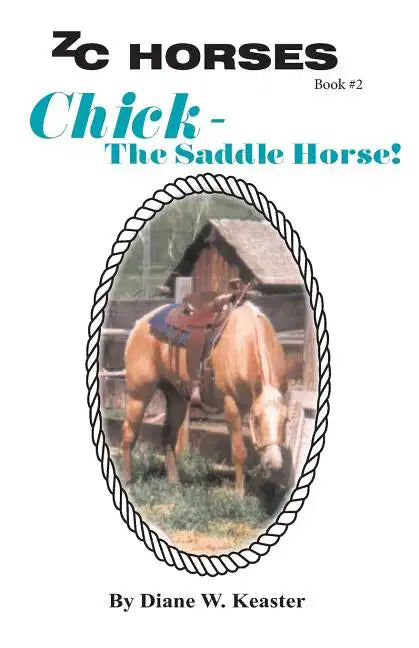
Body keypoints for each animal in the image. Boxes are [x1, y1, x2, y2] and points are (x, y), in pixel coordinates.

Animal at [121, 300, 288, 495]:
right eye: (257, 419)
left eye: (286, 420)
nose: (274, 463)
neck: (244, 343)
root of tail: (140, 324)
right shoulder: (231, 405)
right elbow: (239, 452)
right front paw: (239, 494)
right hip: (139, 394)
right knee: (128, 433)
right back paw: (128, 480)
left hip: (177, 398)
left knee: (168, 437)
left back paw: (174, 483)